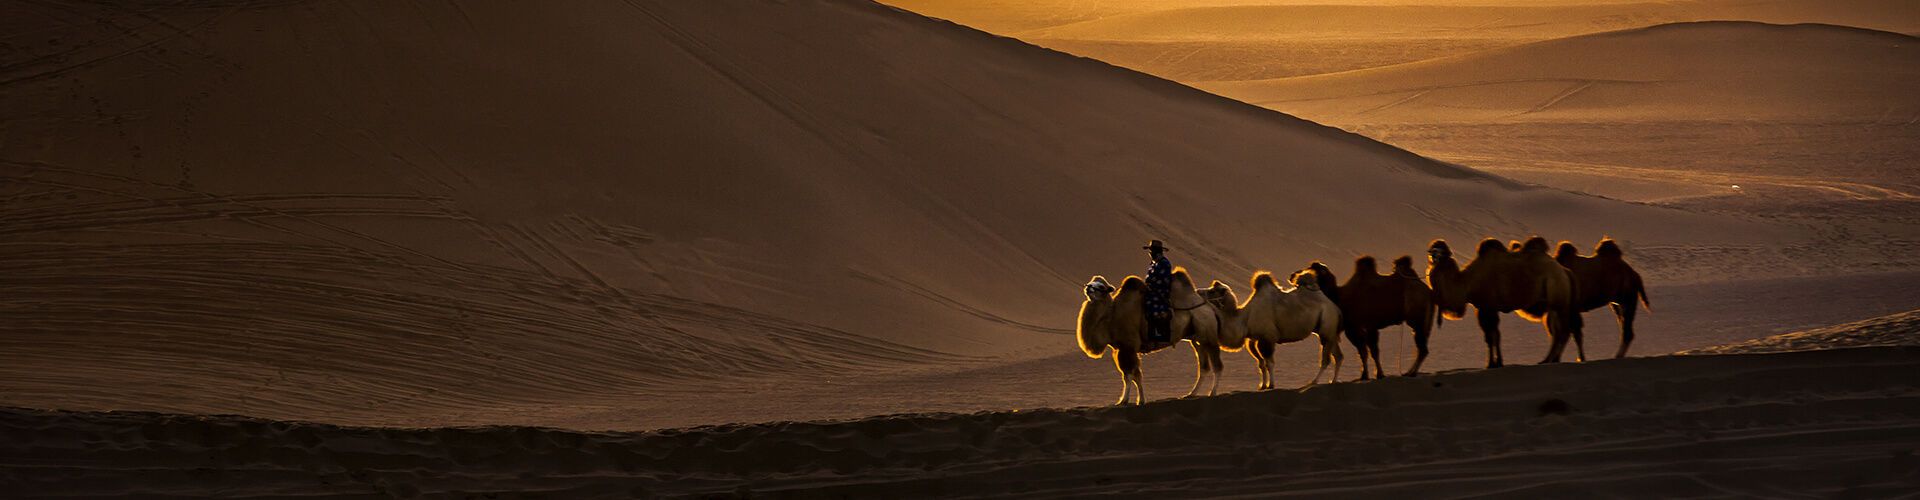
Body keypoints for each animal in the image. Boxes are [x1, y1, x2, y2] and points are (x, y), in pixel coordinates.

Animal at [1075, 269, 1236, 405]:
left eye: (1101, 286)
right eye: (1091, 282)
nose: (1088, 288)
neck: (1111, 317)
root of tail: (1211, 307)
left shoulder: (1128, 346)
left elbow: (1129, 376)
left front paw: (1124, 401)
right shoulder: (1120, 349)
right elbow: (1136, 375)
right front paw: (1140, 400)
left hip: (1208, 335)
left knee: (1217, 365)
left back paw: (1212, 393)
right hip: (1197, 339)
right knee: (1204, 367)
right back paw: (1191, 394)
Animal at [1190, 269, 1344, 390]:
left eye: (1212, 291)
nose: (1197, 291)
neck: (1244, 317)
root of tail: (1335, 307)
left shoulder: (1267, 337)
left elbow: (1269, 363)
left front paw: (1271, 385)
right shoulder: (1253, 340)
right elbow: (1261, 363)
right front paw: (1262, 385)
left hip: (1326, 325)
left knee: (1326, 359)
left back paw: (1314, 381)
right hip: (1327, 331)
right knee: (1338, 355)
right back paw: (1333, 381)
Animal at [1428, 236, 1589, 369]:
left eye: (1440, 251)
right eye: (1432, 250)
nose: (1432, 255)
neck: (1466, 283)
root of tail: (1566, 272)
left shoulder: (1487, 307)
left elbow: (1490, 337)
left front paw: (1491, 364)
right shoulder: (1486, 308)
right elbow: (1495, 335)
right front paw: (1497, 362)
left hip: (1560, 303)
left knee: (1563, 332)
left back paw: (1553, 360)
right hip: (1554, 308)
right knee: (1558, 333)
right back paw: (1546, 360)